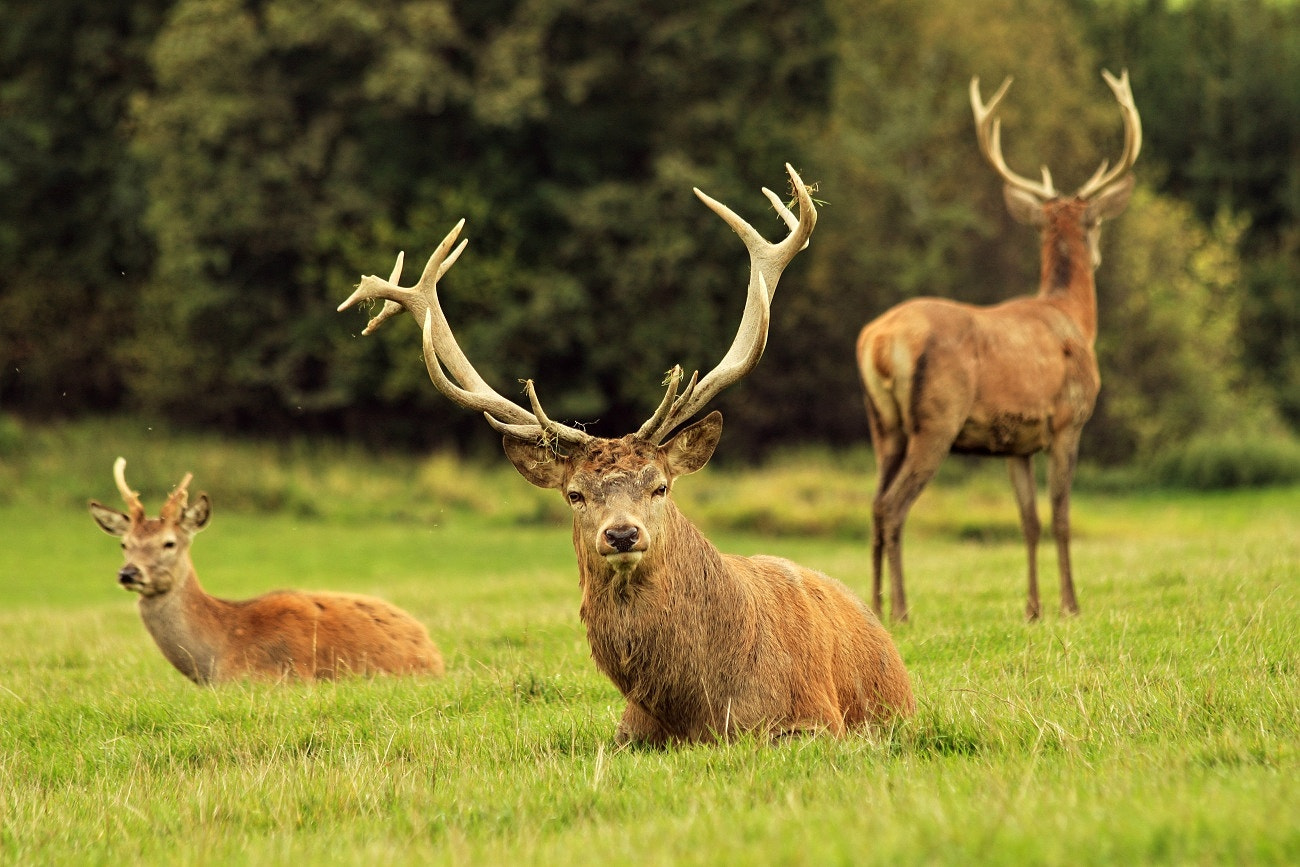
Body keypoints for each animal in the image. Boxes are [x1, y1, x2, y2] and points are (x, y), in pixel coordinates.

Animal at [89, 458, 445, 684]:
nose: (129, 573)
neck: (216, 657)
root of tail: (433, 650)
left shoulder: (266, 678)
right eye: (125, 544)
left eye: (169, 543)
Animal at [338, 164, 915, 745]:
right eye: (574, 494)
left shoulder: (817, 718)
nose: (621, 534)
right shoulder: (627, 730)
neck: (702, 709)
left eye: (659, 485)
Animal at [857, 70, 1141, 623]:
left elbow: (1028, 520)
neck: (1074, 319)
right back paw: (901, 609)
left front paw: (1032, 608)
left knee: (875, 504)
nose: (1099, 252)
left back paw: (872, 606)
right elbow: (1061, 515)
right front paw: (1070, 604)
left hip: (883, 425)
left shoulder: (1016, 442)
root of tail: (879, 342)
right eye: (1096, 222)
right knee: (895, 506)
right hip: (936, 419)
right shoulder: (1068, 420)